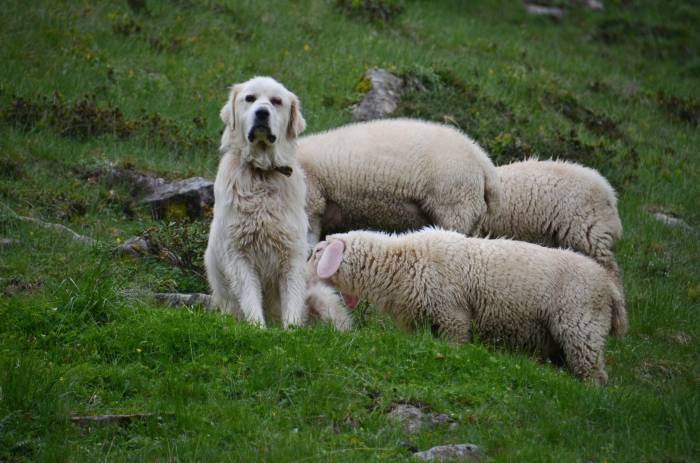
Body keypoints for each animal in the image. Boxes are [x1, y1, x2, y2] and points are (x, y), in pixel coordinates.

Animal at [205, 76, 308, 328]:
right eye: (250, 98)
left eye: (276, 101)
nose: (262, 112)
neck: (262, 173)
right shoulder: (239, 254)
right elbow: (250, 297)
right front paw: (257, 328)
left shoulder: (292, 253)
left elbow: (292, 298)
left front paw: (292, 330)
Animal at [312, 227, 624, 384]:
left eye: (317, 252)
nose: (306, 264)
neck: (402, 262)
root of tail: (610, 288)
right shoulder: (417, 320)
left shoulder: (452, 313)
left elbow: (455, 344)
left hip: (581, 324)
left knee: (595, 372)